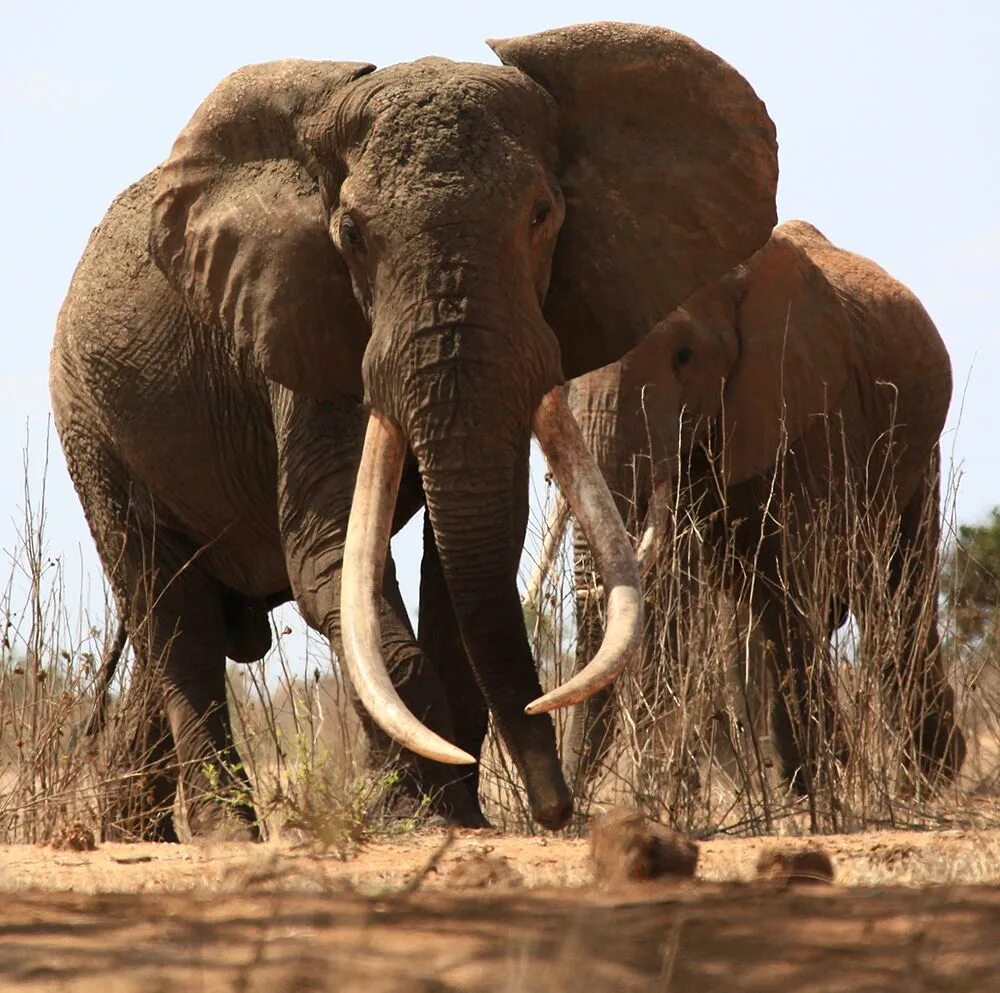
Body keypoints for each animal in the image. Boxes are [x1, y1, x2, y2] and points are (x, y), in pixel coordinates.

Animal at [50, 21, 776, 836]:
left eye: (542, 214)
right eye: (351, 234)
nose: (556, 809)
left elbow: (466, 558)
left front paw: (459, 814)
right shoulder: (305, 324)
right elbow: (330, 556)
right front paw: (422, 813)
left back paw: (128, 830)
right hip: (88, 420)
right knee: (172, 615)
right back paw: (221, 833)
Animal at [540, 219, 968, 800]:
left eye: (684, 356)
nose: (569, 806)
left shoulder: (810, 405)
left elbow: (789, 580)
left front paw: (823, 784)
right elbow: (676, 595)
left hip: (919, 453)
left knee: (897, 594)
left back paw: (924, 780)